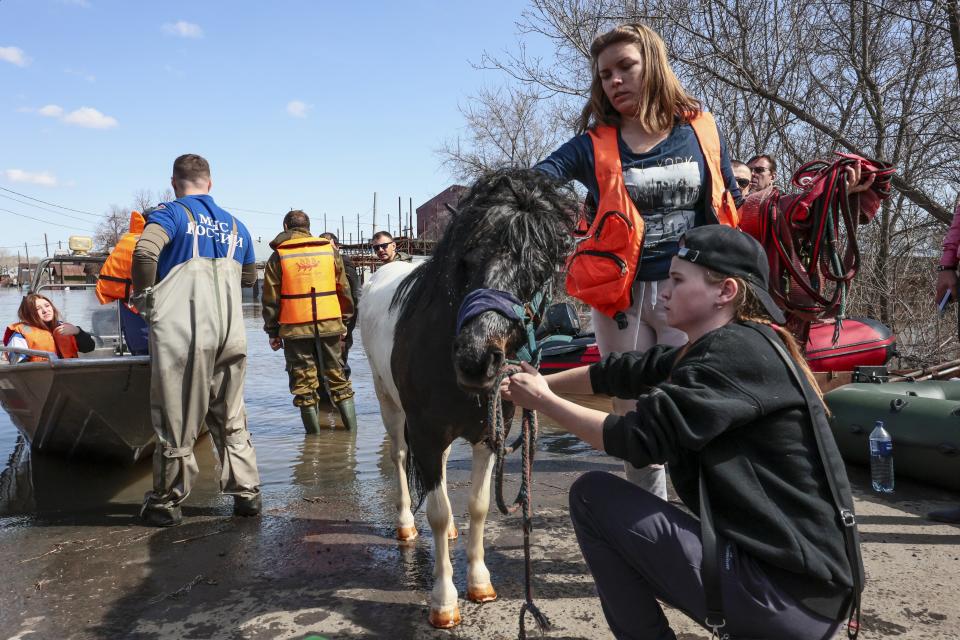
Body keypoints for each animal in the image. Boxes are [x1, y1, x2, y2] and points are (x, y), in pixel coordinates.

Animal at [358, 168, 568, 628]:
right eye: (466, 262)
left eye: (538, 268)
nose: (475, 359)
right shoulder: (425, 433)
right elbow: (436, 513)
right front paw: (444, 601)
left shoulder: (489, 433)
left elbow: (478, 505)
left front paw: (479, 583)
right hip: (388, 404)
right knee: (399, 458)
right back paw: (405, 524)